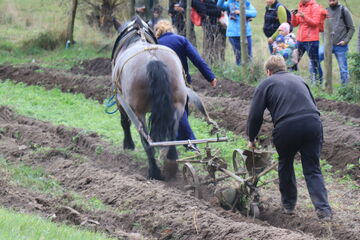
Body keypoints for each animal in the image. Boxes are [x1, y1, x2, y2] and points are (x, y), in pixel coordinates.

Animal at [111, 15, 187, 180]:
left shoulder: (120, 99)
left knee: (146, 140)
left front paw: (128, 144)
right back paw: (171, 164)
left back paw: (154, 171)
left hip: (138, 112)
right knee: (172, 134)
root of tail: (153, 59)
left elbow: (124, 122)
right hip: (178, 105)